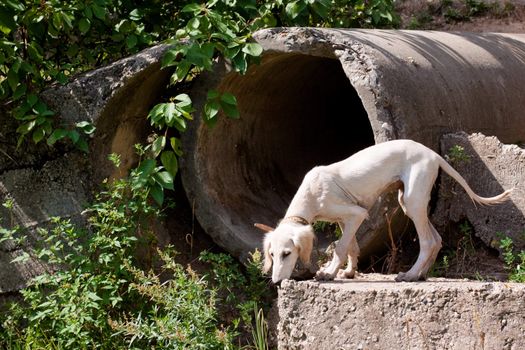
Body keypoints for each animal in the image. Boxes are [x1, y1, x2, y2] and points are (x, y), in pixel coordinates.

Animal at [256, 138, 510, 284]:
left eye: (287, 253)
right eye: (272, 255)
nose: (276, 282)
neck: (311, 194)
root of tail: (433, 154)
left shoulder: (357, 213)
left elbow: (340, 247)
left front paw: (328, 273)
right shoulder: (345, 219)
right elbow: (351, 246)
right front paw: (349, 272)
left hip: (413, 200)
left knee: (428, 241)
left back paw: (409, 275)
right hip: (409, 202)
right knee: (437, 239)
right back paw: (421, 274)